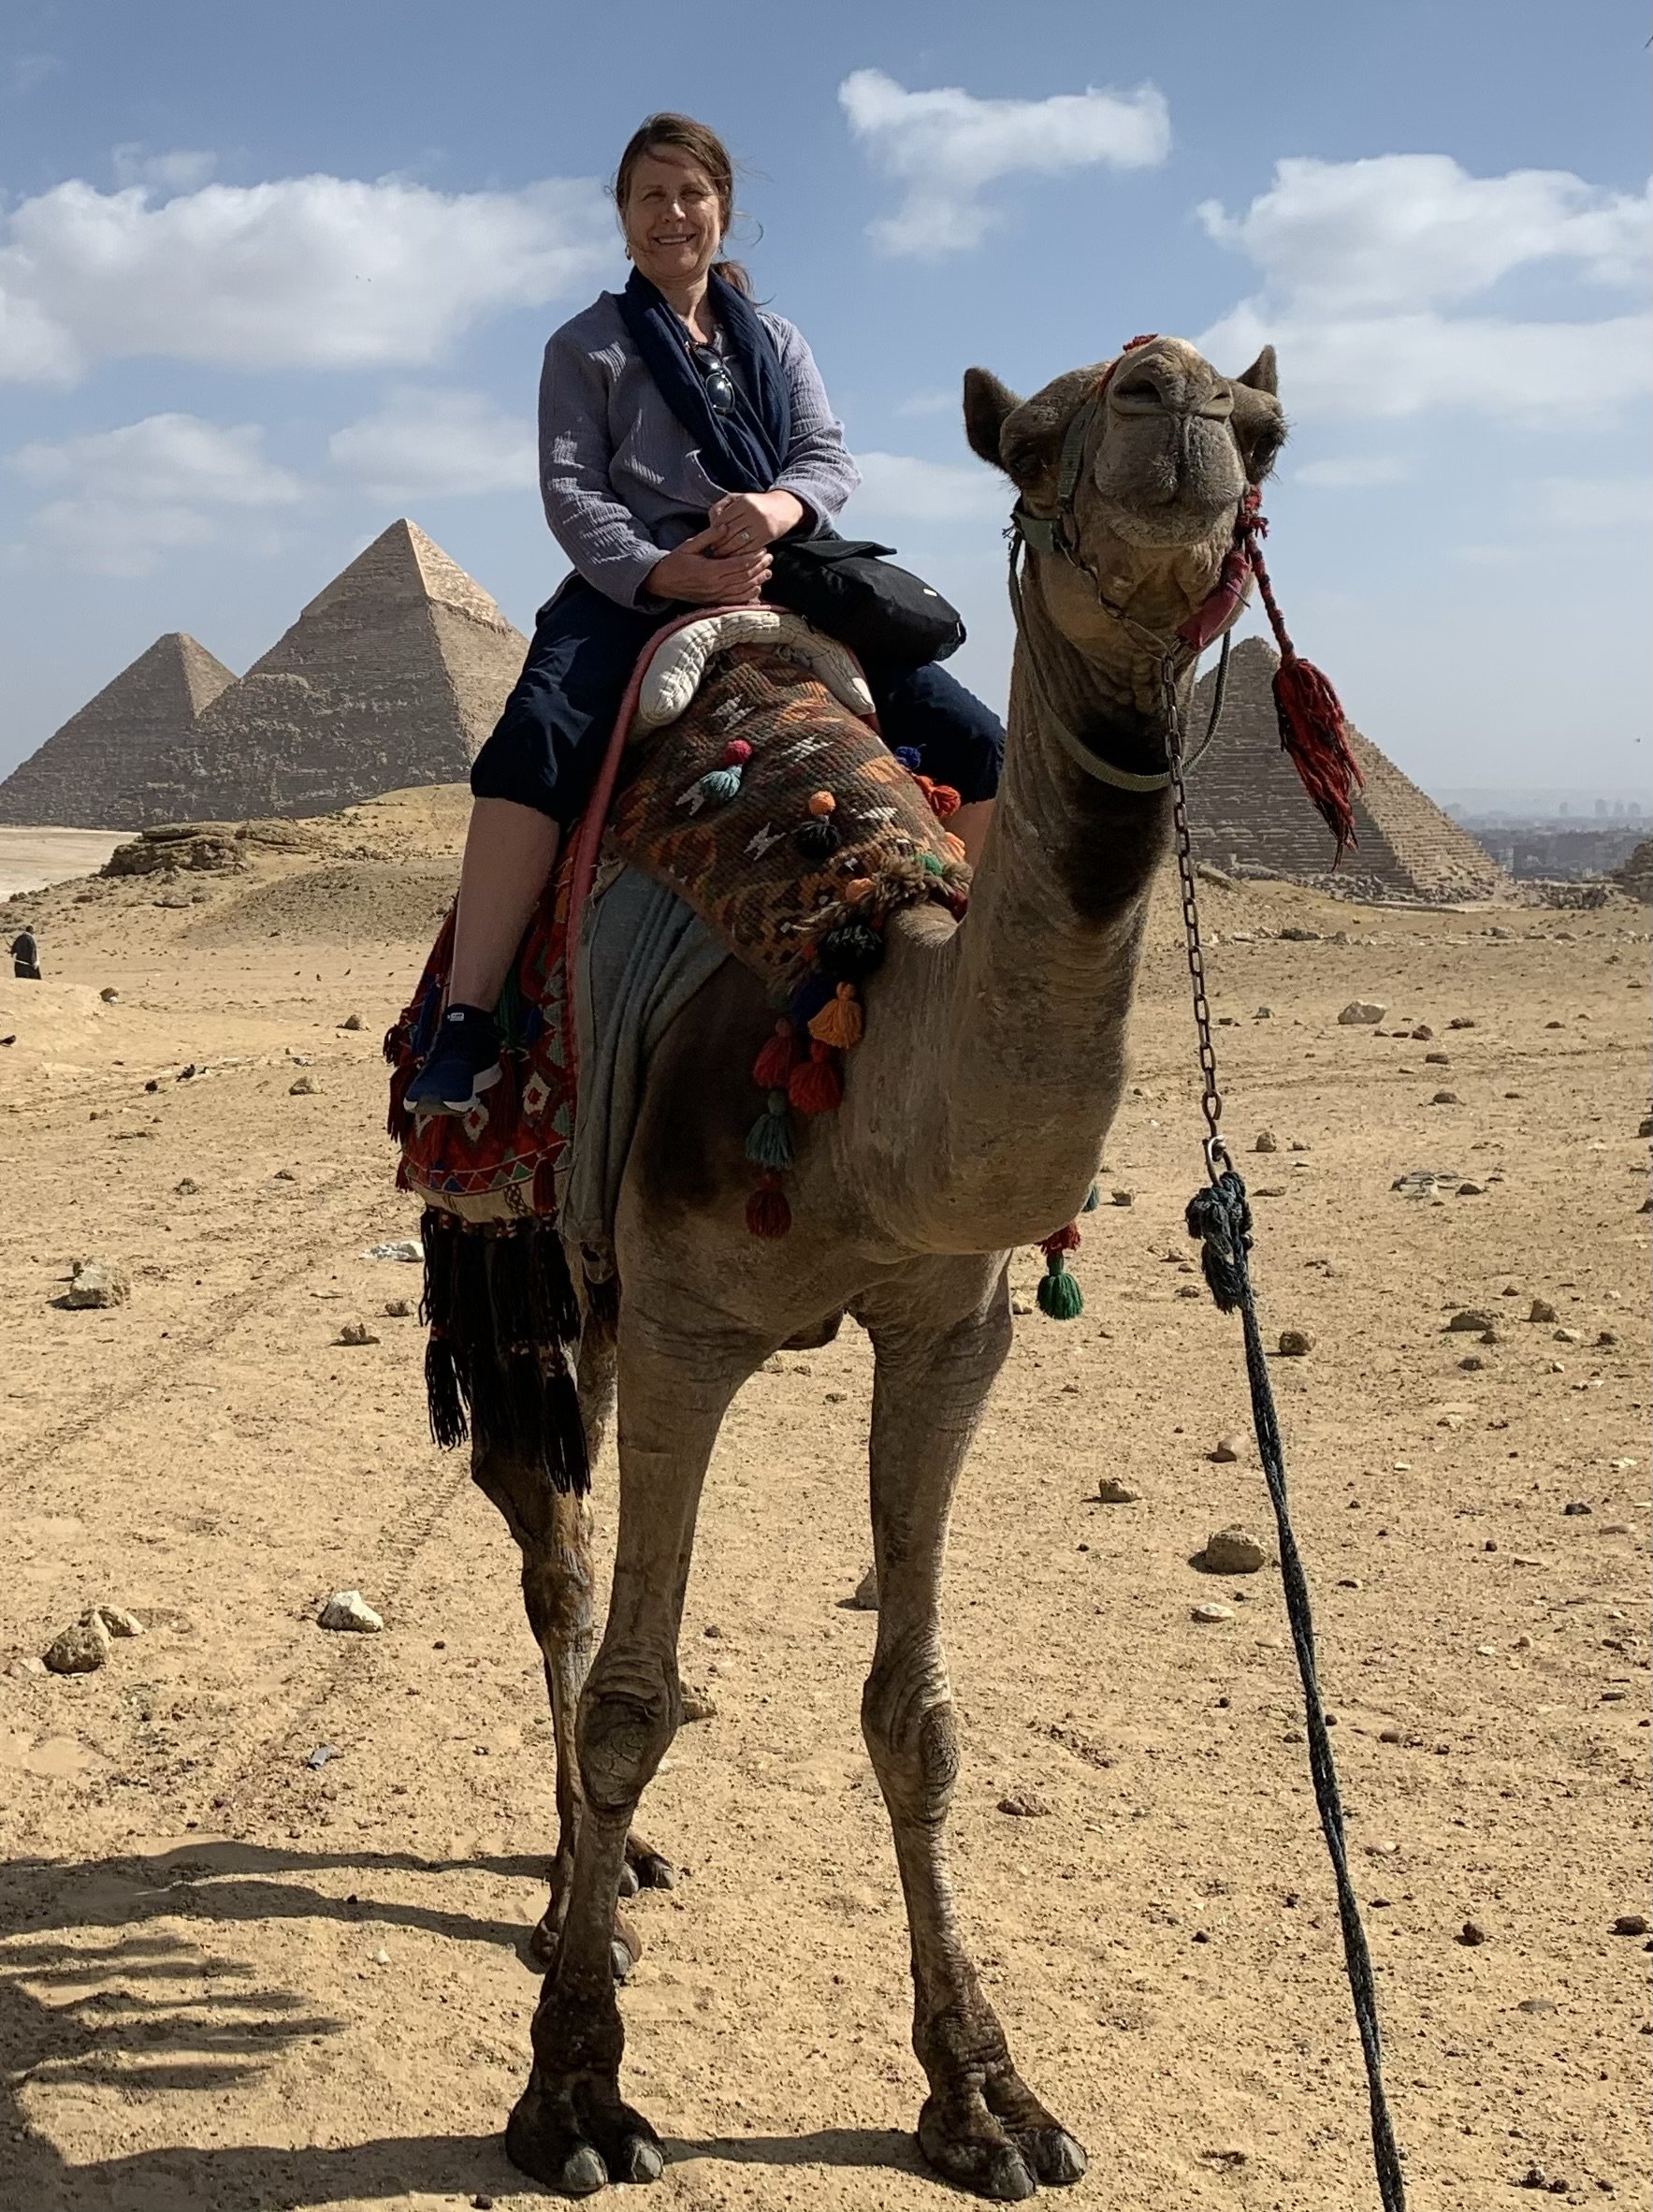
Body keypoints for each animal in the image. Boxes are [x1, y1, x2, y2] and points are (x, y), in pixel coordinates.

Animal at [471, 332, 1287, 2199]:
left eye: (1266, 426)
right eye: (1037, 436)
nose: (1172, 398)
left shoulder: (951, 1329)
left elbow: (916, 1719)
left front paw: (985, 2092)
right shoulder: (691, 1316)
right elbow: (634, 1701)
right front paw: (577, 2095)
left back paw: (602, 1875)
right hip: (528, 1252)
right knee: (553, 1552)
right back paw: (572, 1895)